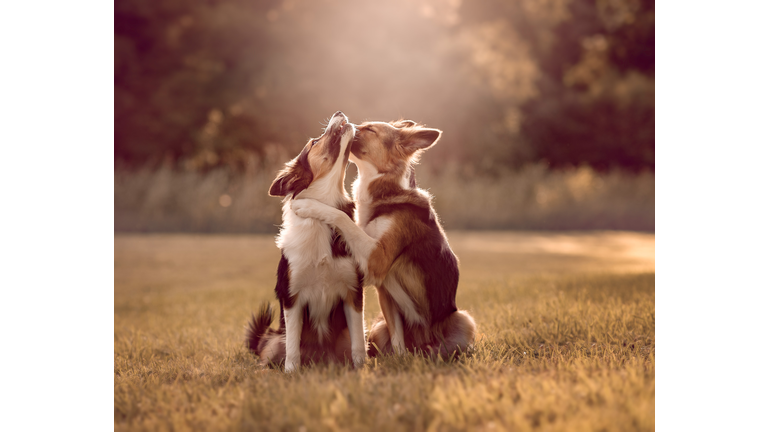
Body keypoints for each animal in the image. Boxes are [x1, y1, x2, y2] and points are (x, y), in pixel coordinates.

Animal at [246, 111, 366, 372]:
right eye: (314, 142)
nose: (338, 112)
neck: (321, 216)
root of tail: (320, 358)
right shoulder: (292, 297)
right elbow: (292, 346)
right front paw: (292, 373)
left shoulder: (353, 293)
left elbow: (359, 343)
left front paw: (362, 368)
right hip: (275, 340)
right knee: (270, 355)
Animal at [292, 119, 474, 358]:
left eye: (370, 130)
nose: (348, 122)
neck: (386, 192)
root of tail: (423, 344)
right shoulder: (384, 292)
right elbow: (397, 337)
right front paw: (400, 360)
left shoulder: (378, 257)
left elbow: (342, 217)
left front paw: (307, 205)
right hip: (379, 327)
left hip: (464, 319)